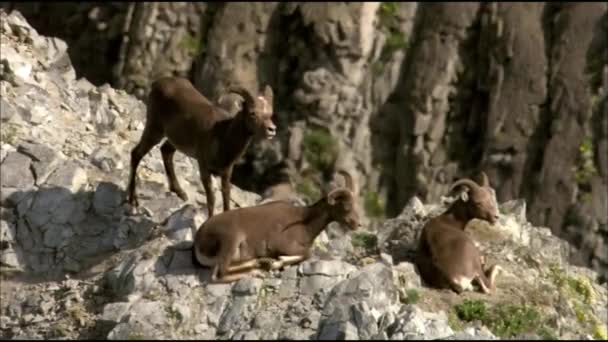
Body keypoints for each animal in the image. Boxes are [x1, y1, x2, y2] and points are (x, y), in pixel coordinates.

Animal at [127, 77, 276, 216]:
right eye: (252, 113)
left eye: (270, 114)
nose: (272, 130)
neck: (223, 137)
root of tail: (158, 83)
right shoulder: (204, 168)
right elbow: (211, 199)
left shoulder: (226, 172)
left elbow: (226, 197)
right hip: (154, 130)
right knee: (136, 153)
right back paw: (132, 200)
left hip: (173, 140)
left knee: (165, 151)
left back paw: (180, 193)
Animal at [192, 169, 358, 284]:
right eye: (346, 207)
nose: (357, 223)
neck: (305, 223)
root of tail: (198, 243)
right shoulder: (281, 244)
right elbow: (307, 253)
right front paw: (279, 261)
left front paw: (274, 262)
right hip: (231, 240)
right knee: (218, 275)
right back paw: (258, 271)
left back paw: (261, 262)